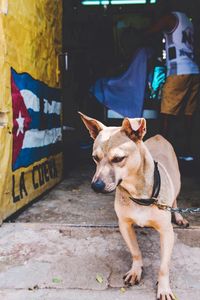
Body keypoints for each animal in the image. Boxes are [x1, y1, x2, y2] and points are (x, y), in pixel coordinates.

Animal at [79, 113, 188, 300]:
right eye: (95, 158)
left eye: (118, 159)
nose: (96, 186)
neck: (138, 193)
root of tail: (159, 136)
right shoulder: (125, 225)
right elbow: (136, 252)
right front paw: (136, 271)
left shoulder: (167, 233)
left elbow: (163, 267)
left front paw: (164, 288)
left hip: (178, 182)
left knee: (175, 199)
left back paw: (179, 217)